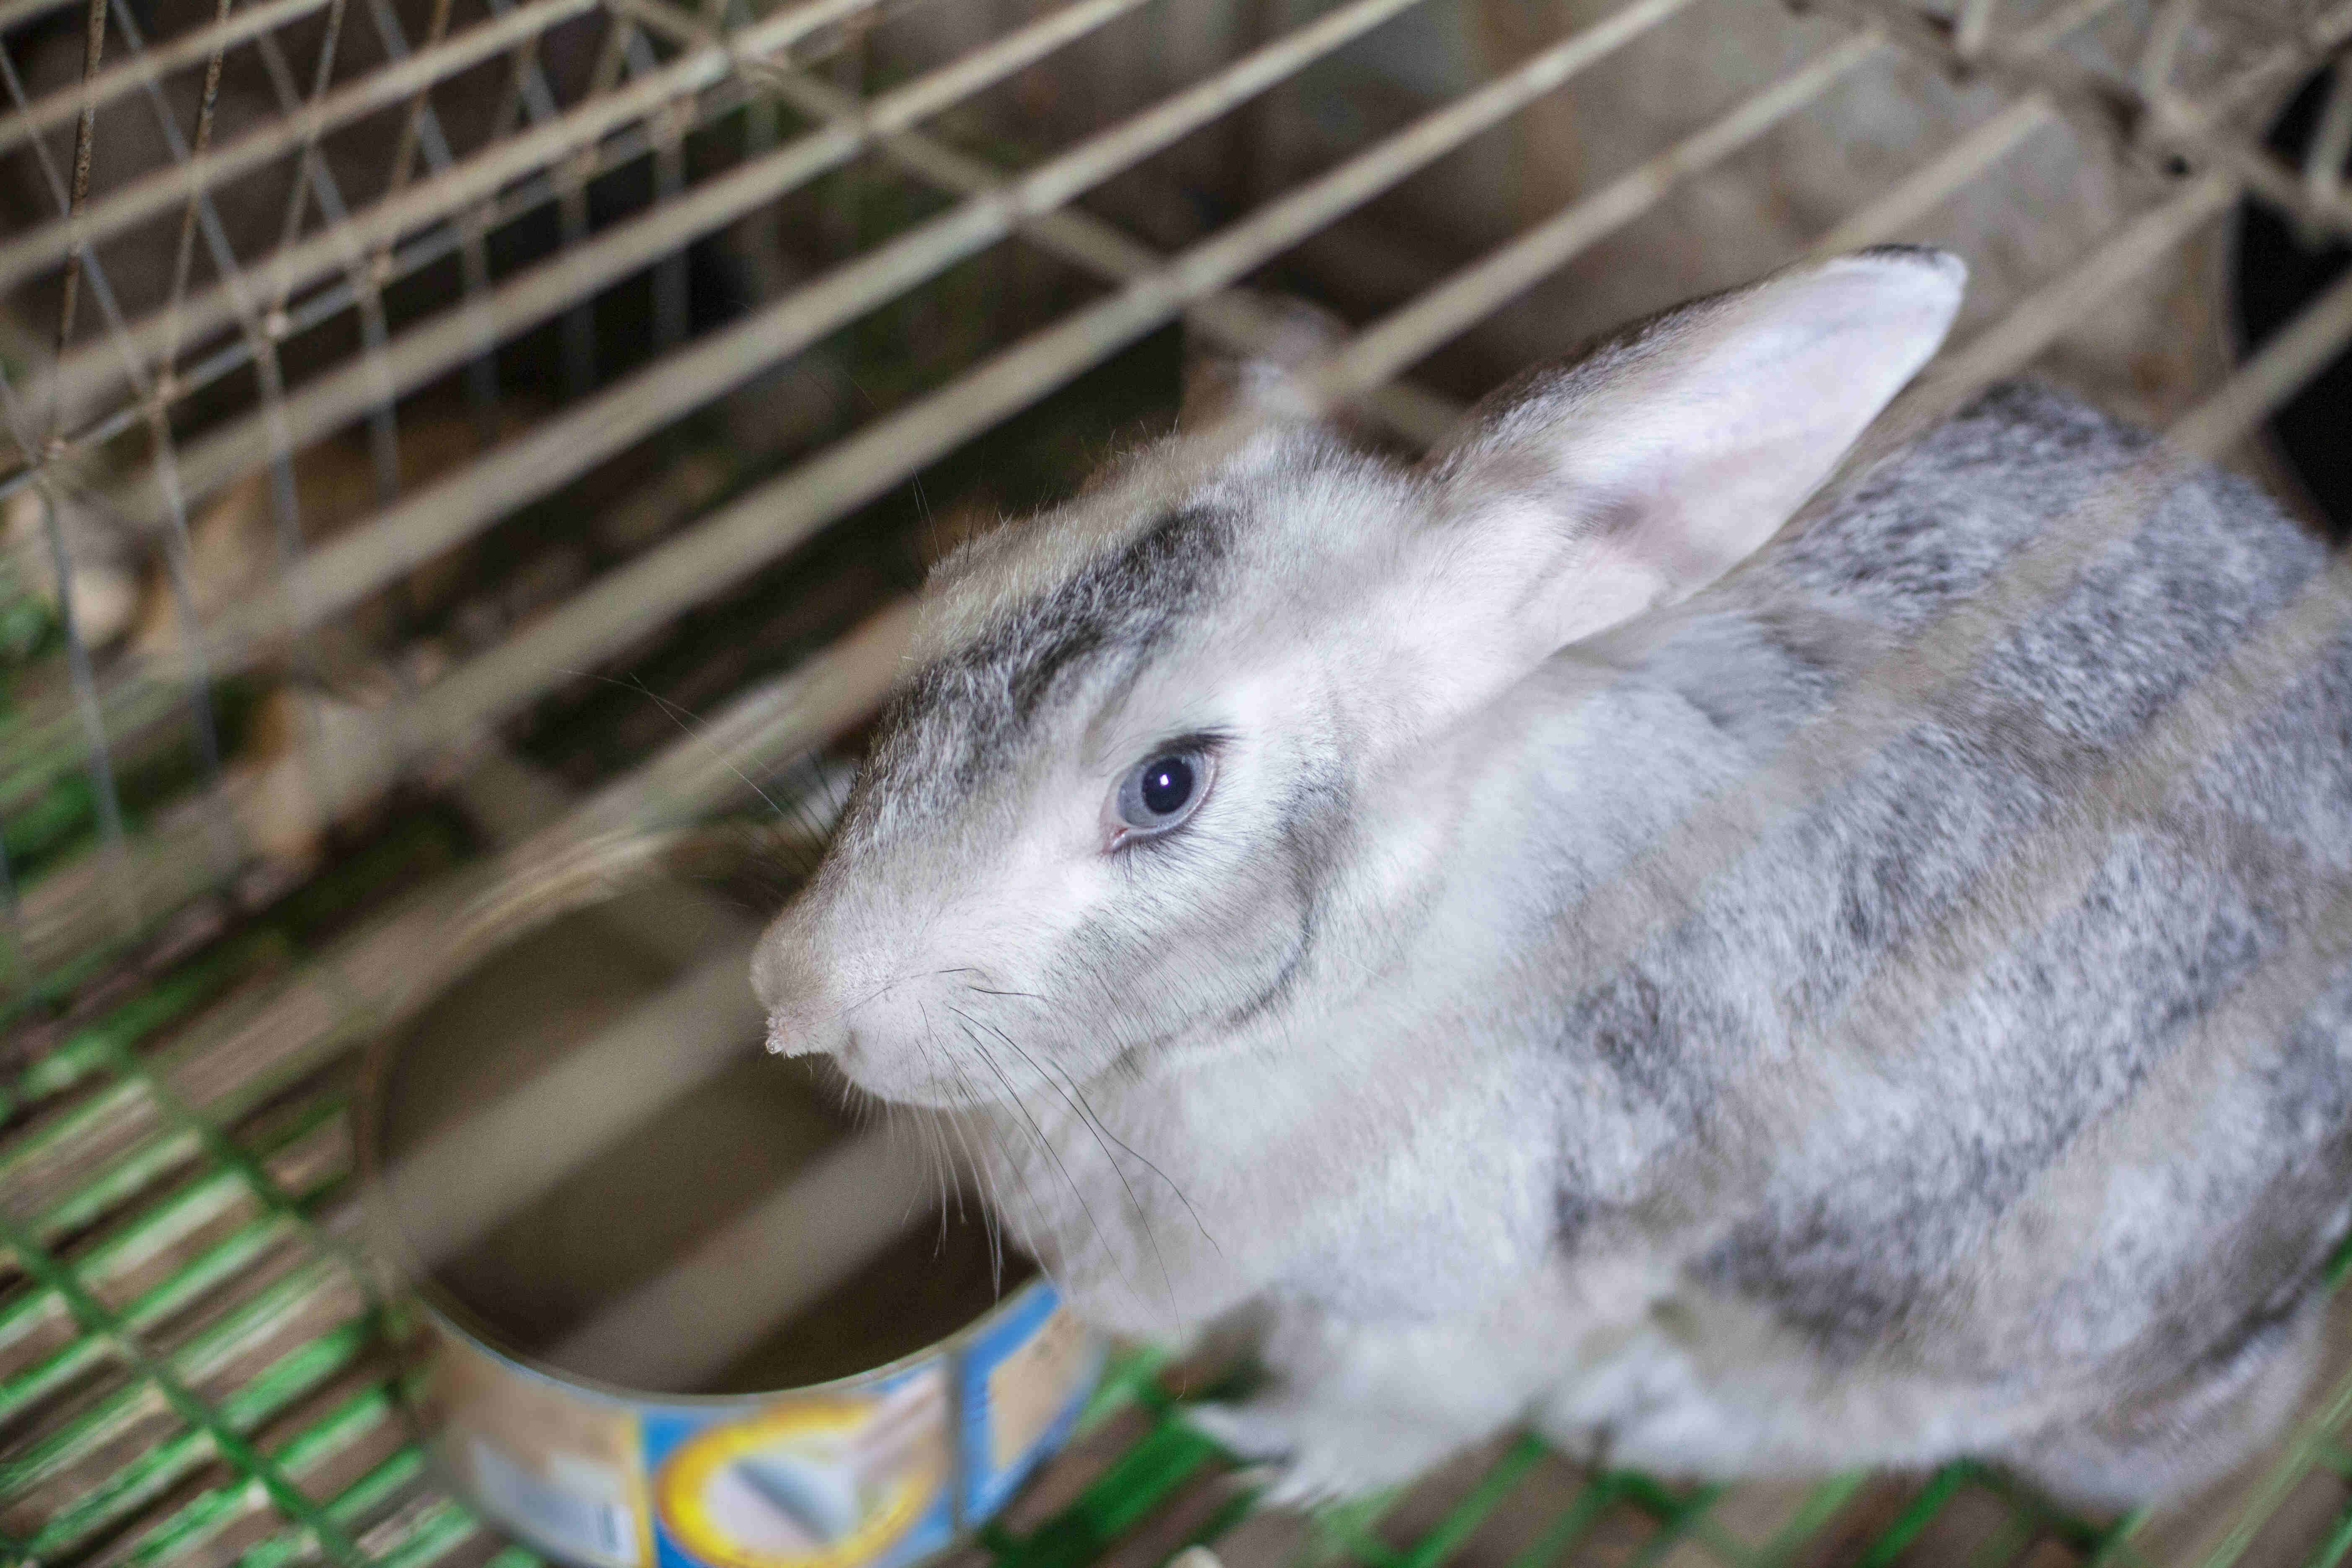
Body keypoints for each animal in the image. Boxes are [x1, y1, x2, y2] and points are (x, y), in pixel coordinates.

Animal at [748, 251, 2352, 1514]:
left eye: (1167, 784)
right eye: (948, 588)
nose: (794, 997)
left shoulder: (1479, 1287)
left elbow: (1404, 1397)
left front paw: (1277, 1456)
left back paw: (1648, 1412)